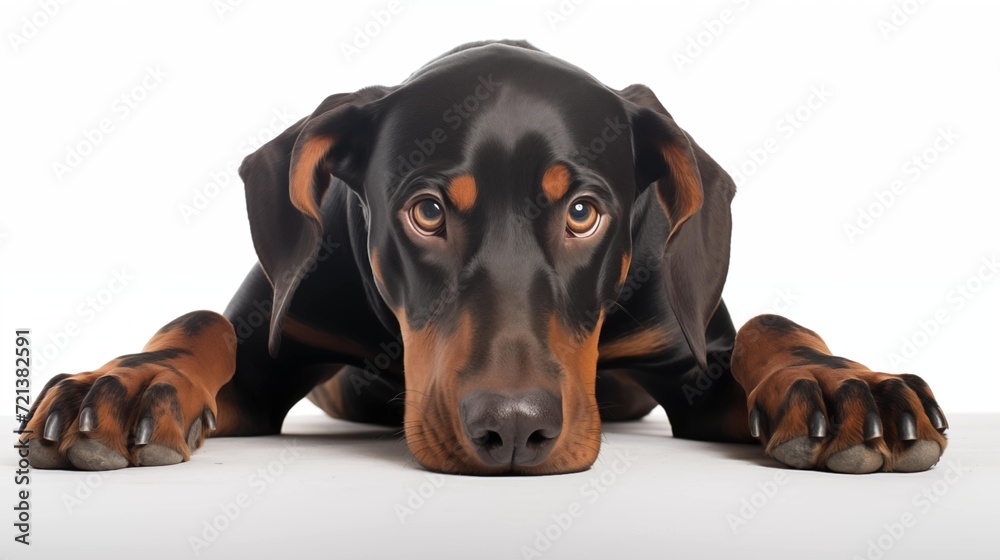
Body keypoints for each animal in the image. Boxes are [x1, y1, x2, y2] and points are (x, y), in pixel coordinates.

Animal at [21, 41, 944, 474]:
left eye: (584, 212)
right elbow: (200, 322)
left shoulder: (691, 362)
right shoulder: (268, 353)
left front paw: (842, 384)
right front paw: (129, 382)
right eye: (426, 212)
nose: (513, 431)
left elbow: (767, 326)